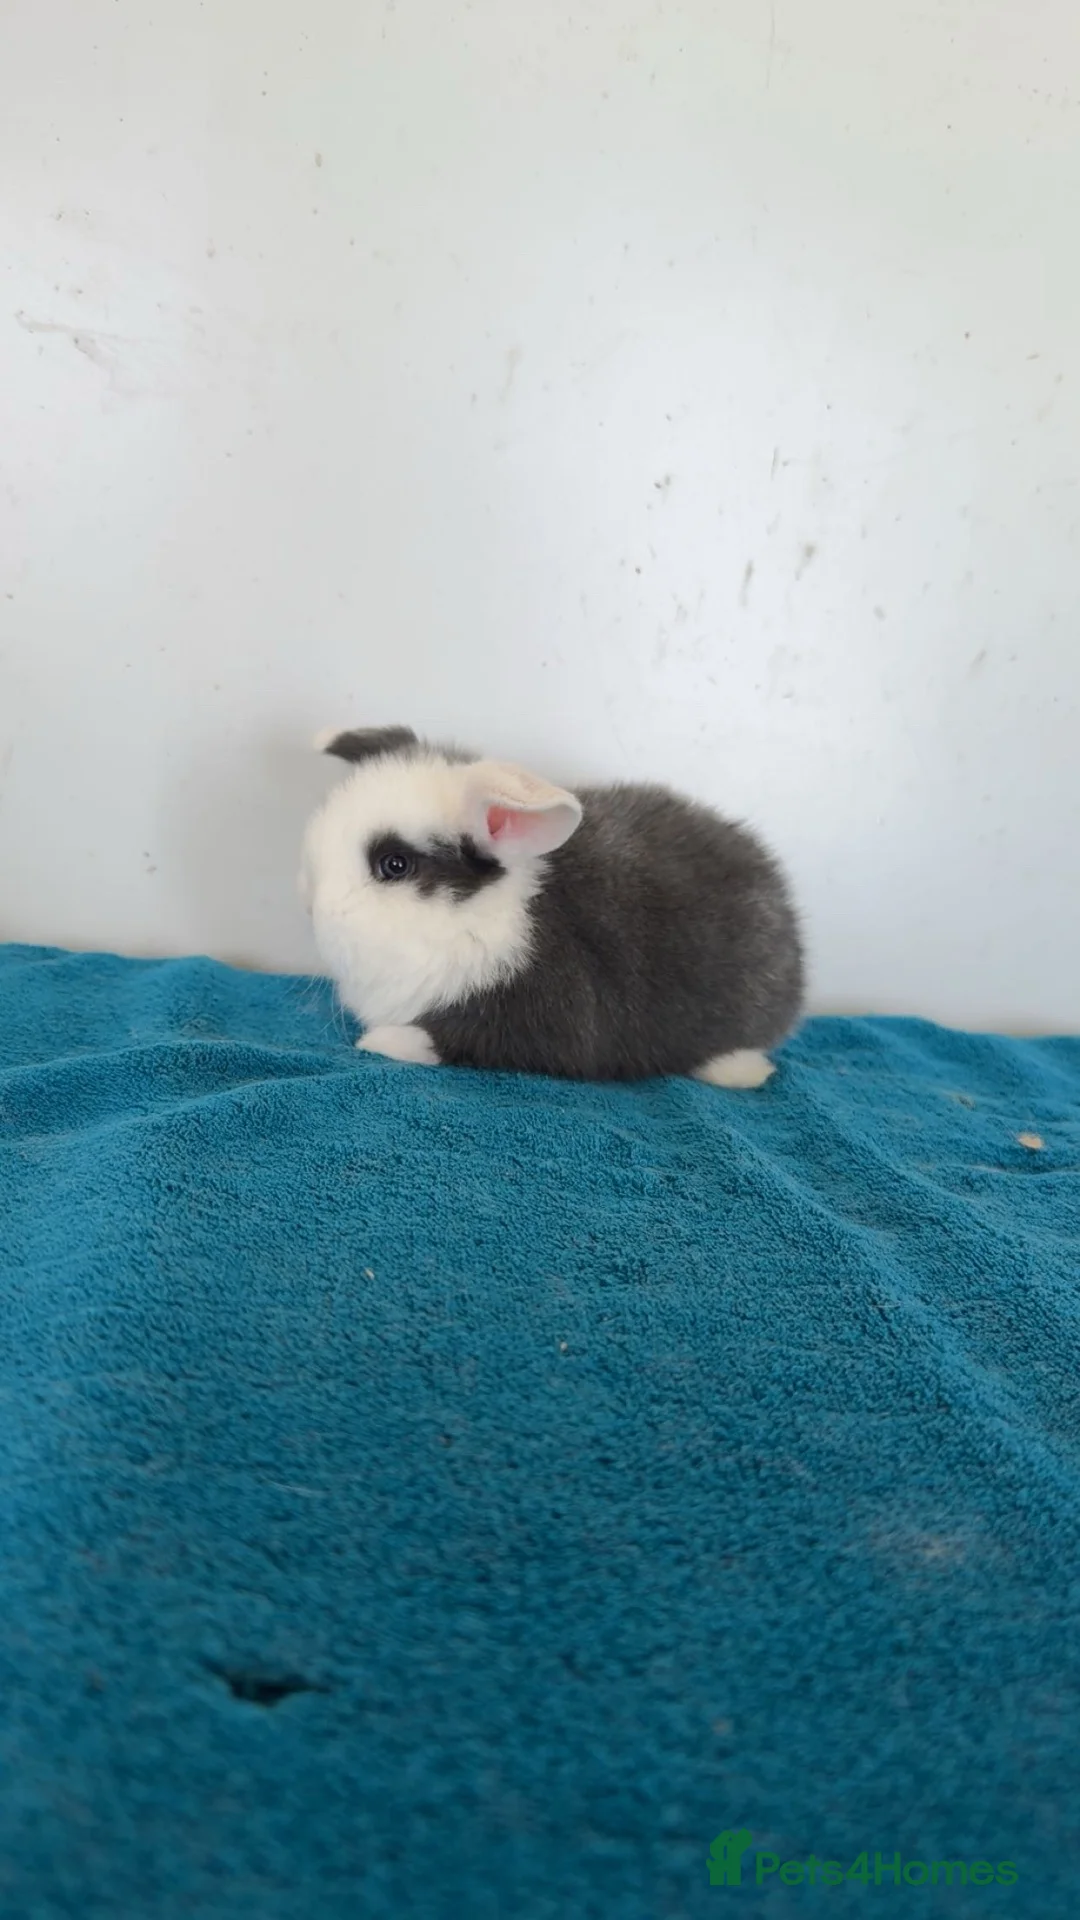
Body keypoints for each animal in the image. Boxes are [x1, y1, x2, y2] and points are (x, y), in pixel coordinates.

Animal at [301, 725, 804, 1085]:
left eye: (394, 864)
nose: (311, 909)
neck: (470, 917)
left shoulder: (544, 1019)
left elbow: (457, 1038)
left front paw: (384, 1040)